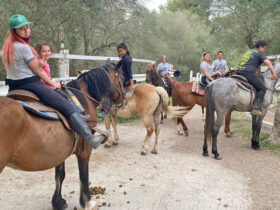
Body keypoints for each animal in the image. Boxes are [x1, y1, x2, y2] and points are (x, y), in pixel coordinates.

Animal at [0, 63, 119, 210]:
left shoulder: (60, 150)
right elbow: (83, 174)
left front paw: (58, 202)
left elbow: (60, 175)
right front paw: (87, 202)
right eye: (121, 77)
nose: (124, 97)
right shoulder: (84, 150)